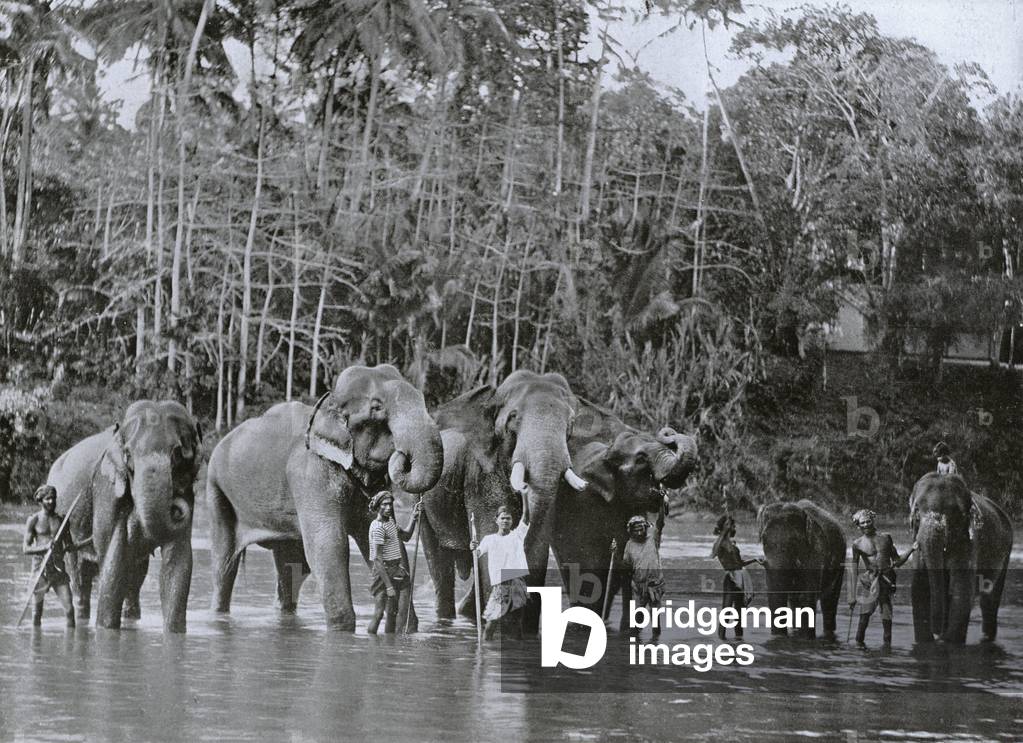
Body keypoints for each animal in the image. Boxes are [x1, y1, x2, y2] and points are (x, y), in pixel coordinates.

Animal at [47, 400, 202, 633]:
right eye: (128, 454)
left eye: (176, 453)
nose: (176, 506)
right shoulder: (106, 487)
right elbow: (114, 553)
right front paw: (105, 630)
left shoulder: (188, 493)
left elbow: (179, 559)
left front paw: (175, 634)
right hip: (68, 528)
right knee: (79, 577)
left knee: (134, 579)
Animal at [206, 364, 444, 631]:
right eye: (376, 407)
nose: (402, 455)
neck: (328, 403)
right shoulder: (310, 474)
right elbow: (329, 544)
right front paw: (342, 630)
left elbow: (383, 541)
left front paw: (409, 628)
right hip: (217, 489)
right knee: (224, 563)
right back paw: (219, 614)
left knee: (291, 565)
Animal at [418, 370, 589, 622]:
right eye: (513, 418)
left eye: (571, 425)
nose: (524, 488)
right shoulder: (482, 473)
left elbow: (537, 550)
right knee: (439, 564)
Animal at [757, 500, 845, 639]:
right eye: (764, 541)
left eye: (794, 542)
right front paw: (778, 638)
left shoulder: (816, 553)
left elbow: (806, 597)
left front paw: (806, 639)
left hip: (841, 562)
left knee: (829, 602)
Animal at [909, 472, 1013, 644]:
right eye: (917, 511)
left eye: (953, 512)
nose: (936, 634)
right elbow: (920, 586)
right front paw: (926, 642)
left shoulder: (969, 540)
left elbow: (962, 588)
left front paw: (949, 642)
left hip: (1006, 552)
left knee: (989, 599)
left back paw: (986, 638)